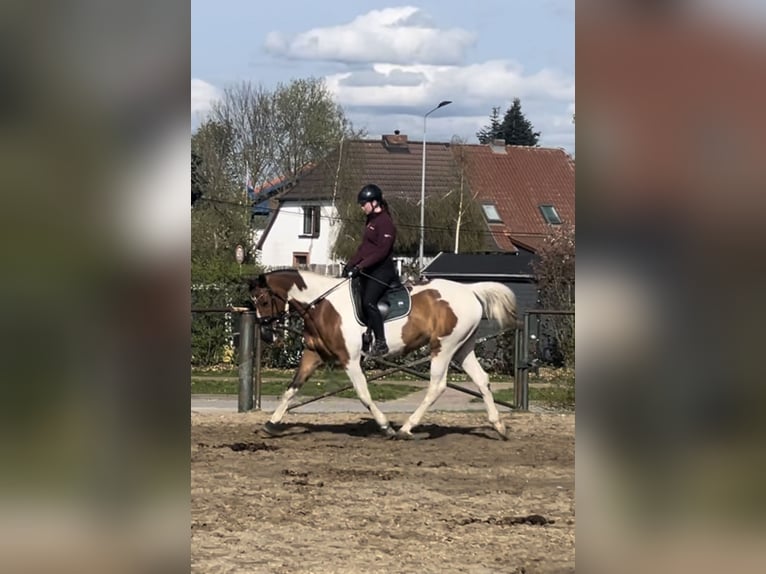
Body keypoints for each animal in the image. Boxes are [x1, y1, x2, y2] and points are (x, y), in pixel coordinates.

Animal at [249, 270, 520, 440]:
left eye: (263, 301)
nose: (265, 335)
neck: (323, 306)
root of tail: (469, 290)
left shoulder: (350, 359)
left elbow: (363, 394)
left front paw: (385, 426)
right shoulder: (313, 355)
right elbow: (291, 389)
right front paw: (271, 424)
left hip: (443, 347)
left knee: (437, 385)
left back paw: (406, 428)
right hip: (463, 348)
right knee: (482, 380)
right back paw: (499, 426)